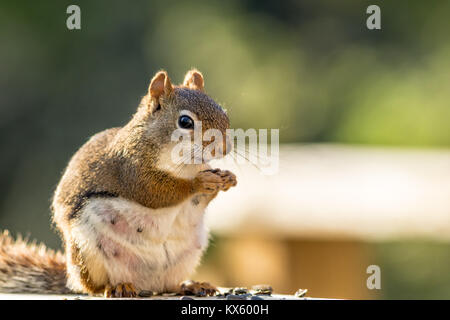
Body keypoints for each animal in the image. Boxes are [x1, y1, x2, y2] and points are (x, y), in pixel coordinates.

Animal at [0, 70, 237, 298]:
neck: (185, 165)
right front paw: (199, 181)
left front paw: (227, 178)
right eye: (185, 122)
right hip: (88, 252)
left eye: (224, 114)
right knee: (94, 287)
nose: (224, 148)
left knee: (169, 284)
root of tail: (146, 283)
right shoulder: (130, 170)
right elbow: (156, 192)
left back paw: (191, 285)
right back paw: (117, 287)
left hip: (188, 254)